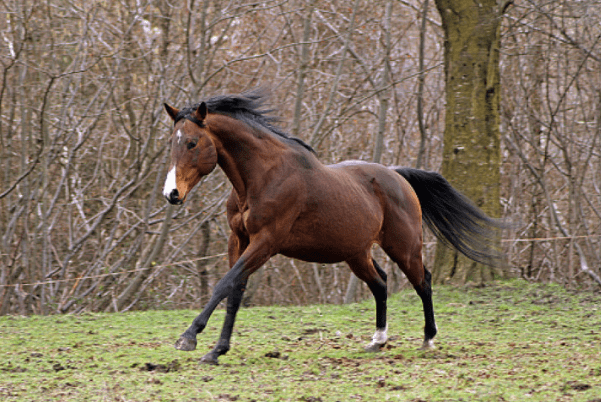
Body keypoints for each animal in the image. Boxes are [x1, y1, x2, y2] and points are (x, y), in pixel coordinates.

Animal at [162, 89, 504, 366]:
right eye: (172, 144)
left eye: (192, 142)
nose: (172, 194)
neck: (261, 178)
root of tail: (398, 176)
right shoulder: (239, 240)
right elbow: (234, 290)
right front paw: (217, 350)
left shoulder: (266, 243)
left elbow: (224, 284)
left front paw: (189, 337)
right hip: (356, 253)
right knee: (380, 283)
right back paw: (377, 340)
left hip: (404, 247)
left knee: (423, 282)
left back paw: (428, 339)